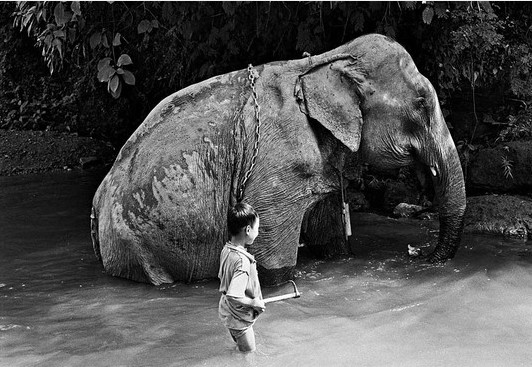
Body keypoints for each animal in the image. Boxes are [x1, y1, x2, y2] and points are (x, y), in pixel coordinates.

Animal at [91, 33, 466, 288]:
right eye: (421, 103)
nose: (418, 254)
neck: (322, 60)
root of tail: (98, 198)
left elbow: (331, 240)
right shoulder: (278, 163)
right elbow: (271, 258)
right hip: (133, 242)